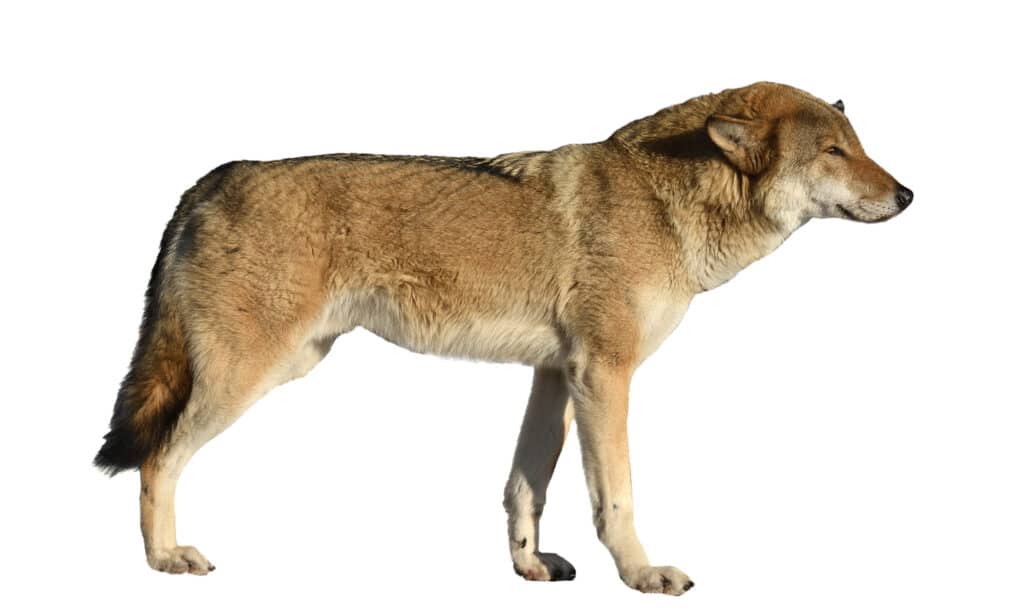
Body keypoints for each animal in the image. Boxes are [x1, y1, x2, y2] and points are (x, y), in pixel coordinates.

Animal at [95, 82, 912, 595]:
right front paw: (641, 576)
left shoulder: (556, 375)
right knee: (158, 459)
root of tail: (209, 178)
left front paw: (529, 569)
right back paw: (165, 560)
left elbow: (526, 486)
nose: (907, 193)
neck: (664, 203)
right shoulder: (606, 375)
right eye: (834, 152)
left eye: (859, 144)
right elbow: (616, 498)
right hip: (251, 374)